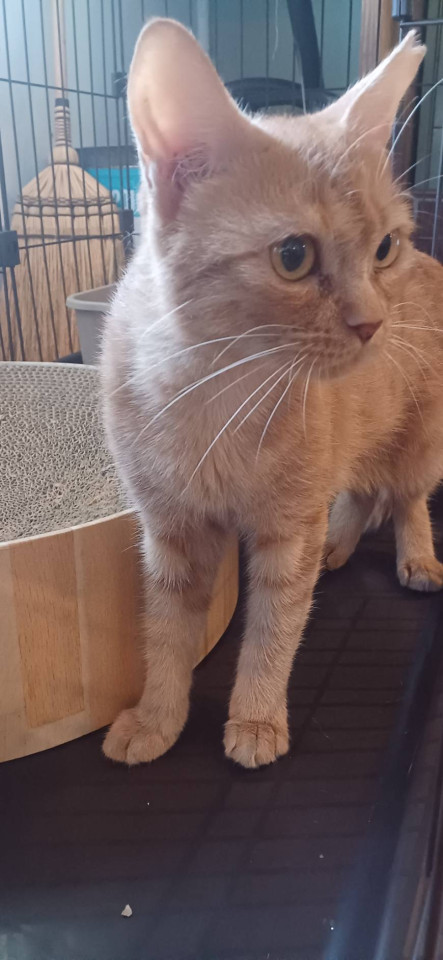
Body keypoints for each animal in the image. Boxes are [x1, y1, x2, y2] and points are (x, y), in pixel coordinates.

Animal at [101, 19, 443, 769]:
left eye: (383, 249)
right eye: (293, 256)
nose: (373, 323)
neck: (215, 393)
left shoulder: (287, 530)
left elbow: (273, 629)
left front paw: (256, 718)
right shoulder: (169, 532)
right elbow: (165, 633)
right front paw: (158, 716)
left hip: (417, 438)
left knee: (404, 498)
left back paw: (414, 556)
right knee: (361, 492)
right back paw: (341, 544)